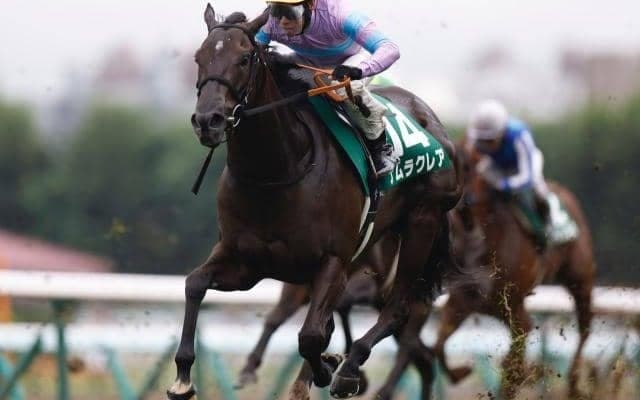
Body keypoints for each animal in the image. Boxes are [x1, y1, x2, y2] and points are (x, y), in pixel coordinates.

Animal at [167, 5, 463, 400]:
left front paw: (330, 369)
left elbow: (310, 336)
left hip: (421, 222)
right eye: (199, 58)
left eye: (244, 58)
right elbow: (194, 284)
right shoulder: (245, 263)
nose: (208, 120)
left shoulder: (333, 262)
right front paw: (183, 376)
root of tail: (433, 121)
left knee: (398, 308)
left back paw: (350, 368)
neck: (277, 173)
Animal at [433, 143, 596, 399]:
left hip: (580, 279)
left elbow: (513, 365)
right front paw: (462, 371)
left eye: (467, 167)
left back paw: (573, 384)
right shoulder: (463, 301)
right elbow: (438, 346)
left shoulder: (514, 309)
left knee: (585, 328)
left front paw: (523, 376)